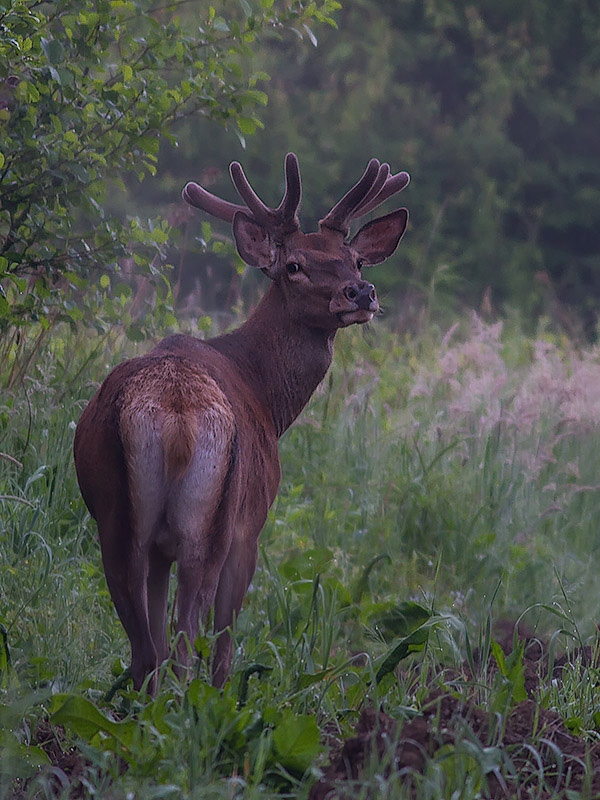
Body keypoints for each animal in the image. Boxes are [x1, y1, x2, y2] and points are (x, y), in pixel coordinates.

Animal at [72, 153, 406, 692]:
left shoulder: (156, 544)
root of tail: (176, 419)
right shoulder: (252, 524)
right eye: (293, 265)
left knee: (148, 651)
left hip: (116, 516)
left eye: (354, 259)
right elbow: (224, 643)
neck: (267, 397)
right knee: (187, 644)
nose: (361, 292)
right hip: (213, 524)